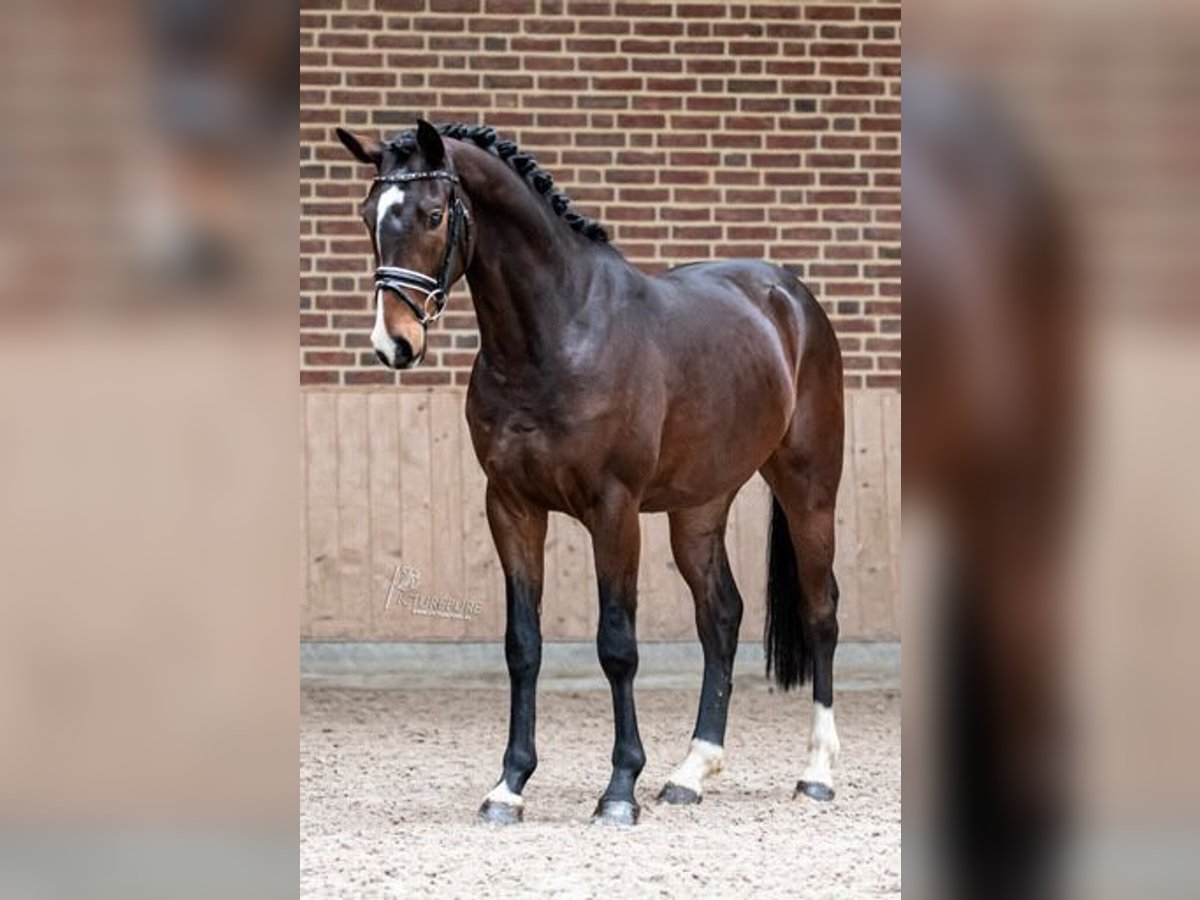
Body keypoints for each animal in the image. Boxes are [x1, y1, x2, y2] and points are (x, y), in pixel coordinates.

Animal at [336, 121, 844, 830]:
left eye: (434, 214)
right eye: (367, 215)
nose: (394, 344)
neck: (556, 334)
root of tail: (790, 296)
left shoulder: (614, 509)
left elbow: (617, 644)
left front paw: (620, 789)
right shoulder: (511, 507)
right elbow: (522, 644)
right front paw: (509, 786)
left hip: (810, 489)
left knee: (821, 611)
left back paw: (817, 773)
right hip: (699, 507)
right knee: (720, 615)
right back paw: (691, 772)